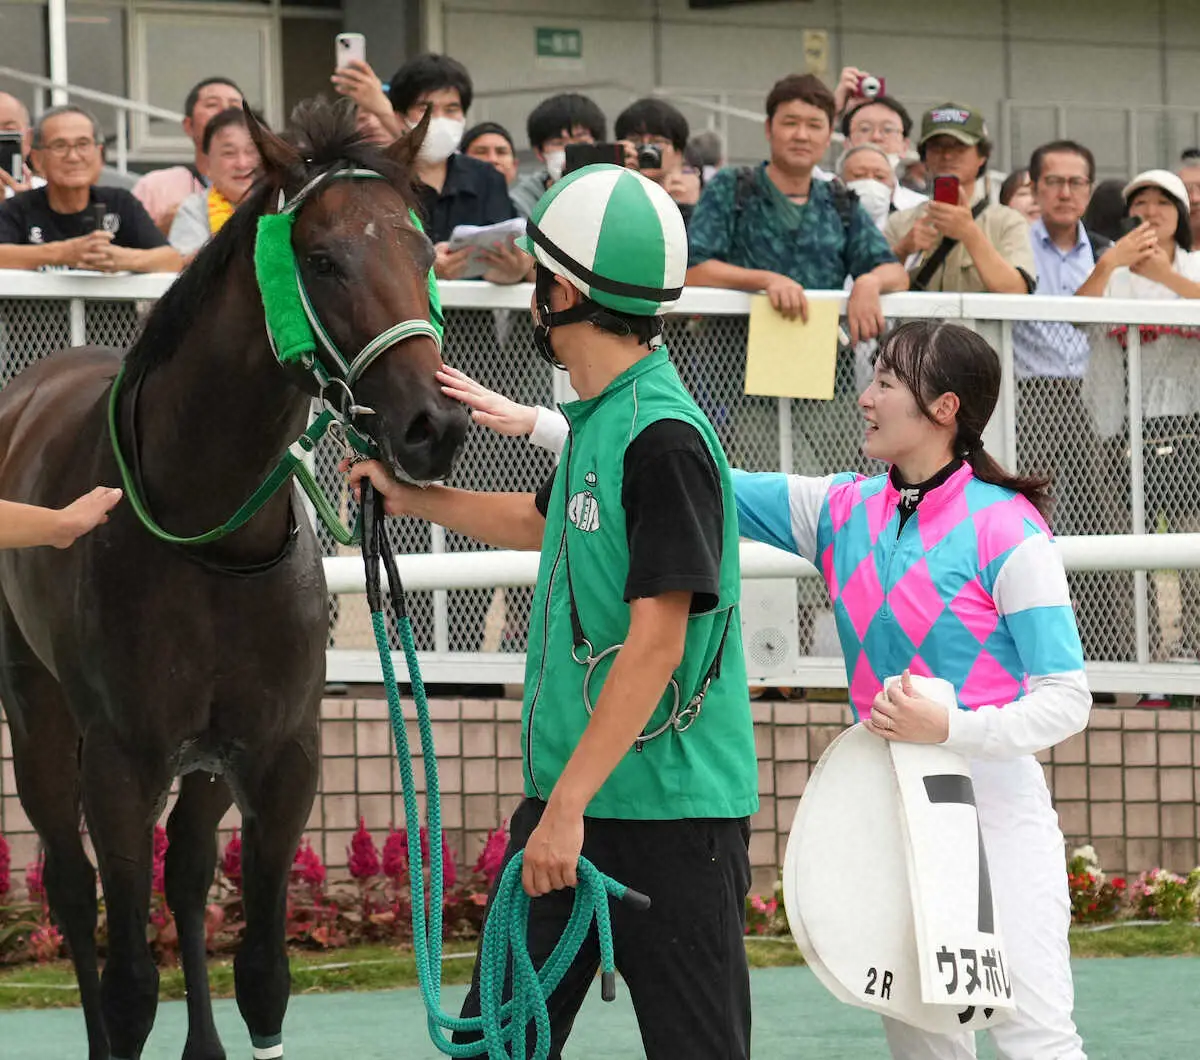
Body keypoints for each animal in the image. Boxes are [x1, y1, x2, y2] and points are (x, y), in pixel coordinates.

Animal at [0, 97, 465, 1051]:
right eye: (322, 261)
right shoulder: (121, 763)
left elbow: (261, 974)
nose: (432, 426)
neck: (210, 540)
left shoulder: (281, 756)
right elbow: (130, 983)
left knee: (186, 869)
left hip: (210, 760)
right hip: (38, 713)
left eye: (424, 253)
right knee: (69, 882)